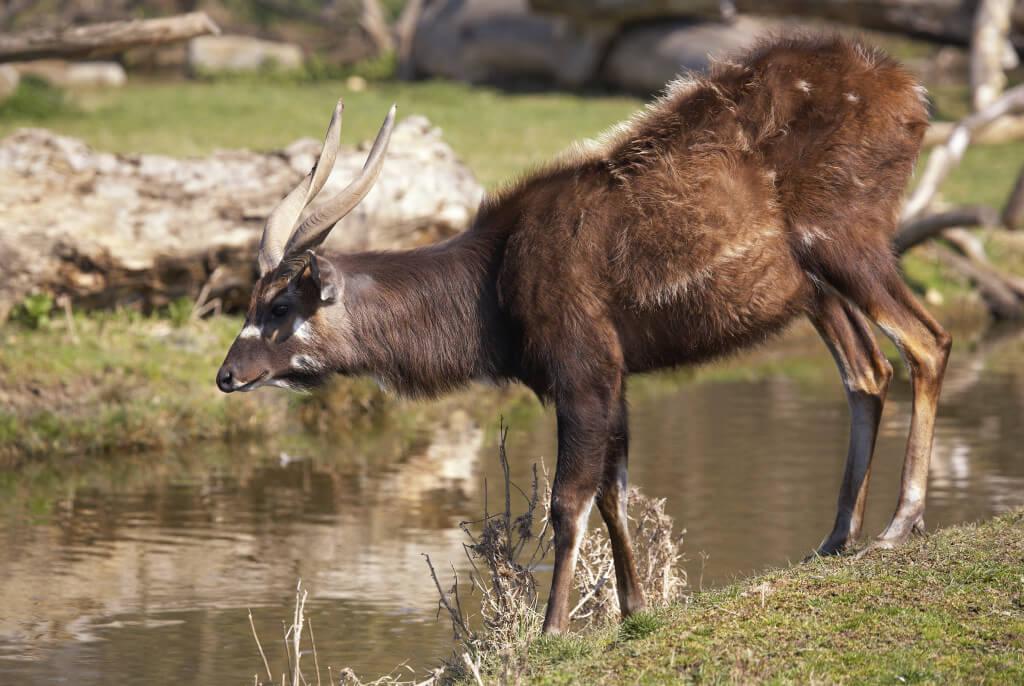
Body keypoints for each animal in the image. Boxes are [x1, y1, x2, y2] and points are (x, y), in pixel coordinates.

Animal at [216, 36, 950, 634]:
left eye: (279, 305)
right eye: (252, 300)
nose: (226, 375)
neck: (493, 280)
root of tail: (911, 94)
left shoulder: (584, 372)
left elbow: (568, 501)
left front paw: (553, 629)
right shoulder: (613, 379)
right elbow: (614, 493)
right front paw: (633, 609)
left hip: (846, 243)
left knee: (926, 342)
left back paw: (898, 527)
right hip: (818, 289)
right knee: (868, 372)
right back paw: (834, 539)